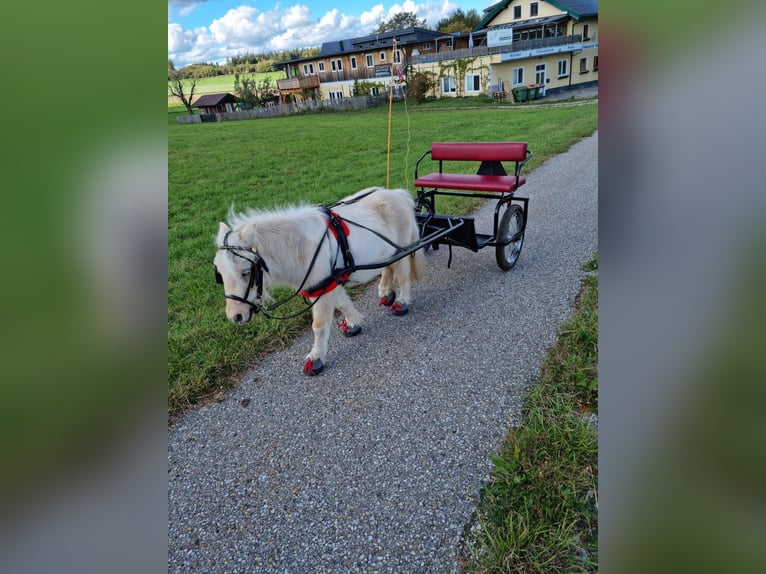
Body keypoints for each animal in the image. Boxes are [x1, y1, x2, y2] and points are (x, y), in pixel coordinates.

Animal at [213, 188, 426, 378]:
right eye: (220, 274)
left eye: (246, 272)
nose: (235, 316)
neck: (300, 246)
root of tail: (399, 193)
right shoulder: (327, 283)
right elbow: (342, 304)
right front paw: (353, 322)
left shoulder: (323, 289)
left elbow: (319, 325)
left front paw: (316, 358)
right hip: (388, 252)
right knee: (388, 267)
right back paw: (386, 292)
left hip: (402, 249)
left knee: (403, 276)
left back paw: (401, 302)